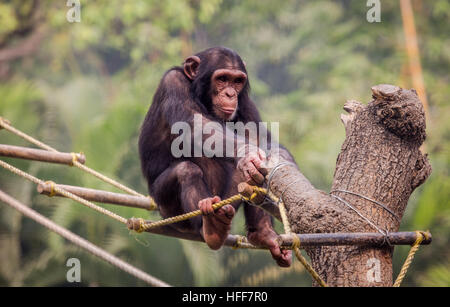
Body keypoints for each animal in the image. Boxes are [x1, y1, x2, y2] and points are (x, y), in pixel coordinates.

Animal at [139, 46, 298, 268]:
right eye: (222, 79)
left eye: (237, 81)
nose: (230, 93)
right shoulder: (172, 83)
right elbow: (199, 126)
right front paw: (247, 155)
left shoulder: (245, 102)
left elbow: (261, 139)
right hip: (169, 210)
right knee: (187, 170)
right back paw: (212, 228)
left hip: (226, 200)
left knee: (248, 179)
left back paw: (262, 233)